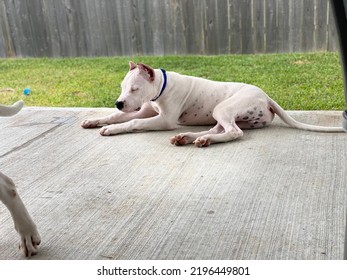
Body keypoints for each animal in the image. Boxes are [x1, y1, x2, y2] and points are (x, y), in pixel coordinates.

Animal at [81, 61, 346, 147]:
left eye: (135, 88)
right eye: (122, 87)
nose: (118, 102)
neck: (160, 87)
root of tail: (266, 96)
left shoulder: (164, 120)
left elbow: (133, 122)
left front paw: (112, 129)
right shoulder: (146, 109)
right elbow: (117, 117)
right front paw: (98, 121)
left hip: (224, 108)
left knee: (234, 133)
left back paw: (200, 139)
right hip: (225, 113)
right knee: (220, 128)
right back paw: (189, 137)